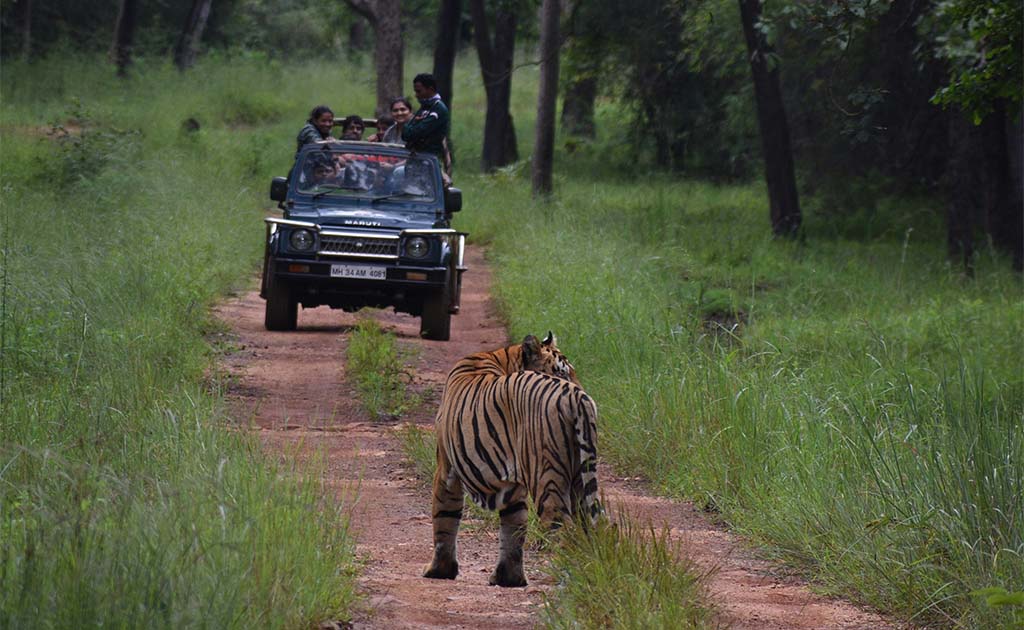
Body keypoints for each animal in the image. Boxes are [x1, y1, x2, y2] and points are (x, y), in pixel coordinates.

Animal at [421, 331, 598, 590]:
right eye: (562, 372)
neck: (502, 357)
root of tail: (578, 397)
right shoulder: (514, 487)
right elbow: (513, 531)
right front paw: (509, 578)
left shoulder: (446, 469)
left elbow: (444, 520)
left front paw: (439, 570)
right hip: (579, 480)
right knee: (589, 532)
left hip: (547, 480)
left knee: (565, 532)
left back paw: (566, 583)